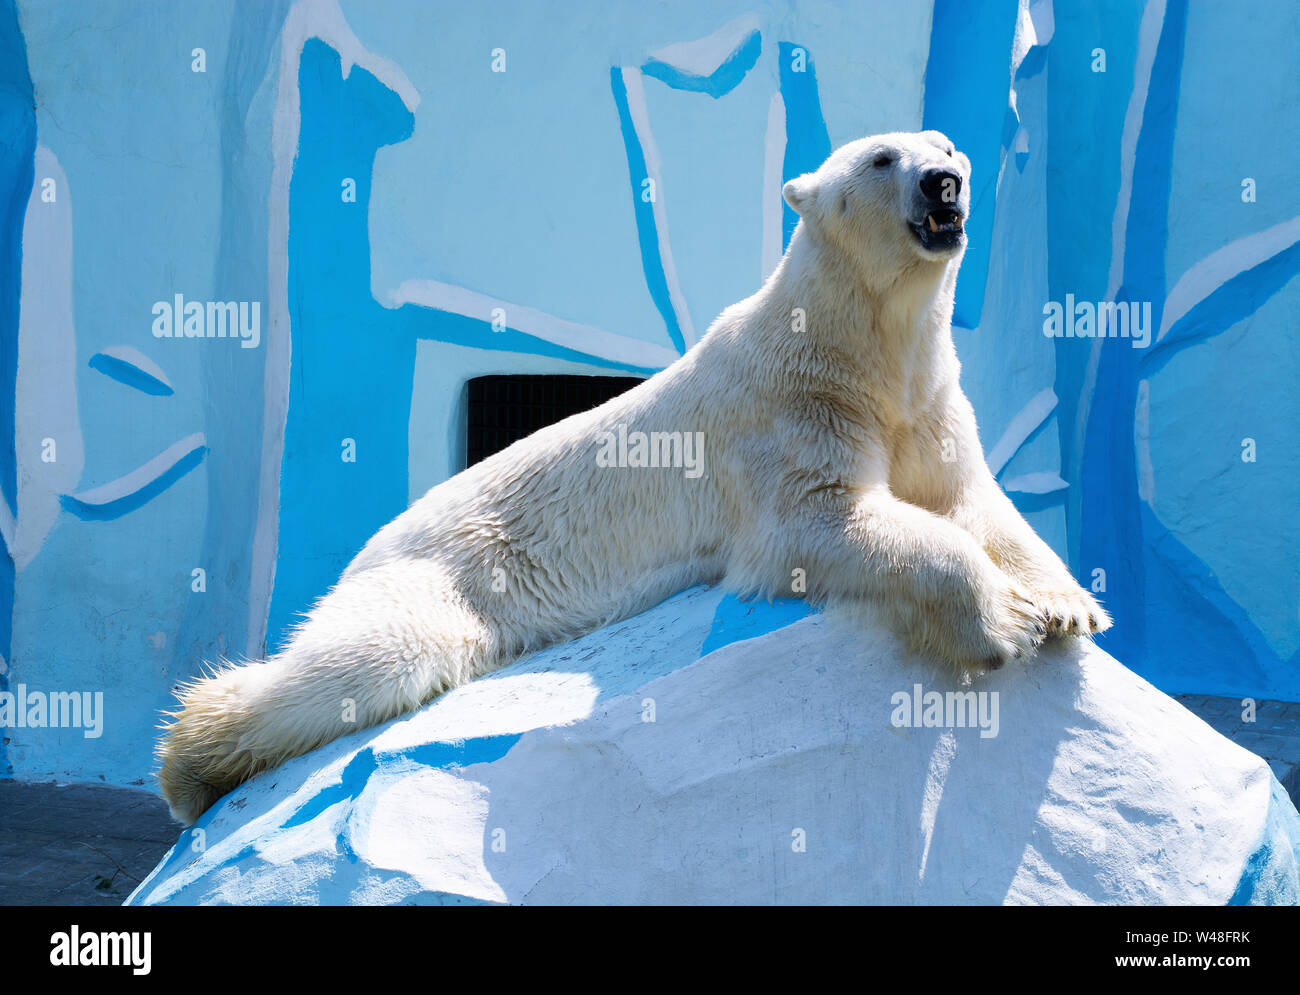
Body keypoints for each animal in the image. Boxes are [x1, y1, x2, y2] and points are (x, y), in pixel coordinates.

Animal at [152, 132, 1107, 822]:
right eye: (882, 158)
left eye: (946, 145)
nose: (944, 183)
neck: (860, 343)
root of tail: (374, 540)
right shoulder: (794, 405)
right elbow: (828, 519)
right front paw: (1004, 619)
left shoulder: (925, 400)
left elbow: (971, 498)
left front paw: (1070, 604)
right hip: (450, 568)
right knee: (371, 657)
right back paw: (192, 761)